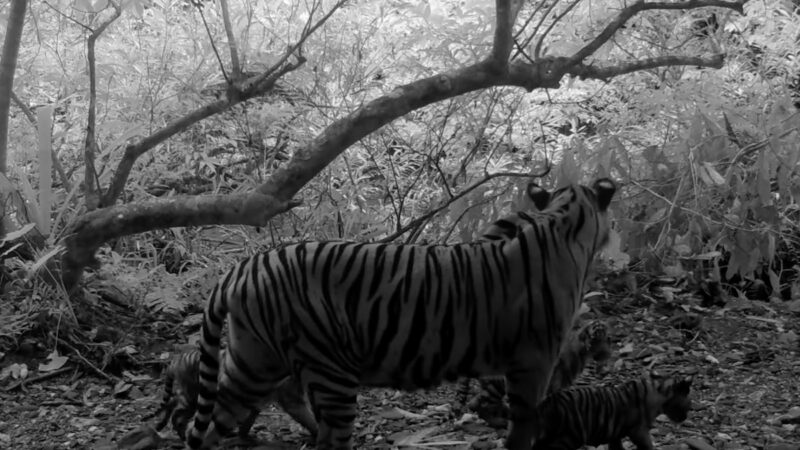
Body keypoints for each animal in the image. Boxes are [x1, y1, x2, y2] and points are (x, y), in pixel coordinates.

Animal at [145, 348, 318, 440]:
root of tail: (177, 359)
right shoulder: (290, 398)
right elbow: (307, 416)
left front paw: (243, 435)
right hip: (193, 397)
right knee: (177, 414)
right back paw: (180, 433)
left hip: (189, 394)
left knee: (172, 402)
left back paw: (162, 425)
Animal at [456, 318, 612, 428]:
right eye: (597, 334)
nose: (608, 354)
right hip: (498, 383)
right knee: (478, 403)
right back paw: (500, 421)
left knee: (478, 402)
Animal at [532, 372, 692, 450]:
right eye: (688, 405)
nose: (684, 418)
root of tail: (546, 404)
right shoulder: (638, 431)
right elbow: (648, 446)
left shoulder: (615, 434)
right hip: (570, 436)